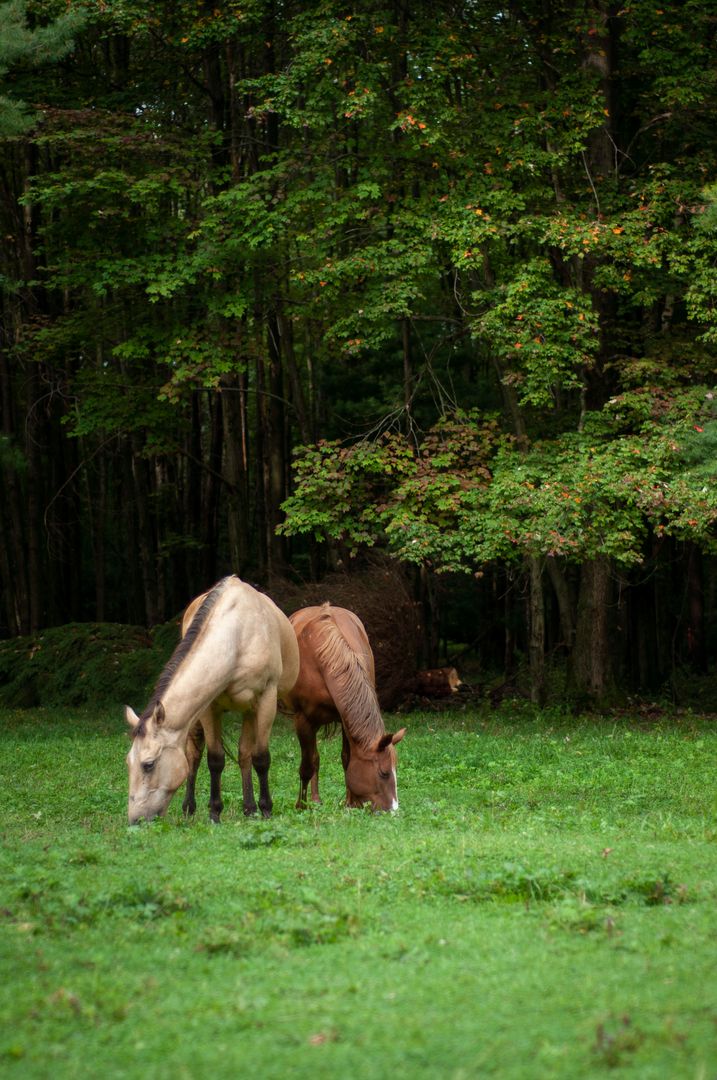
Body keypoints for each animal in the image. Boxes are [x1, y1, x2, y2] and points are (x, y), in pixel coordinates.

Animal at [125, 576, 300, 824]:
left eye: (148, 764)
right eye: (128, 762)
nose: (135, 820)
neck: (237, 637)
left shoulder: (266, 700)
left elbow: (260, 757)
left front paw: (266, 808)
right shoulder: (208, 708)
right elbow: (214, 759)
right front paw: (214, 813)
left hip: (250, 711)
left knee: (245, 754)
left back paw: (250, 808)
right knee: (194, 755)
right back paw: (190, 808)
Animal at [285, 604, 406, 811]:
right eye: (383, 773)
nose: (393, 810)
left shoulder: (345, 719)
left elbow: (347, 758)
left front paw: (351, 803)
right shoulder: (303, 720)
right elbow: (307, 766)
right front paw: (301, 805)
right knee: (313, 758)